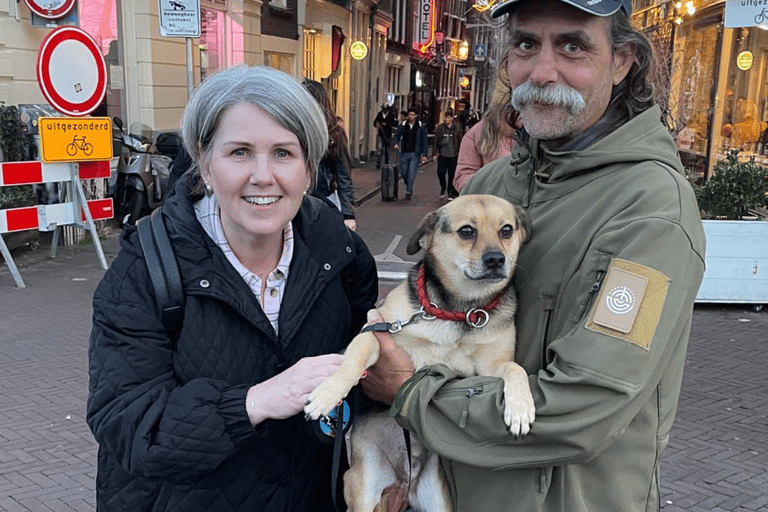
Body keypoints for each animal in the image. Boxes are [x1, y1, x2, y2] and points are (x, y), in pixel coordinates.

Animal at [304, 194, 536, 510]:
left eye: (507, 230)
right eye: (467, 231)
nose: (496, 260)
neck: (459, 311)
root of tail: (404, 480)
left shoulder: (492, 365)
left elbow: (515, 368)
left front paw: (521, 407)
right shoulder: (377, 331)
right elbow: (353, 360)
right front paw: (327, 394)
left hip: (437, 498)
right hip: (363, 489)